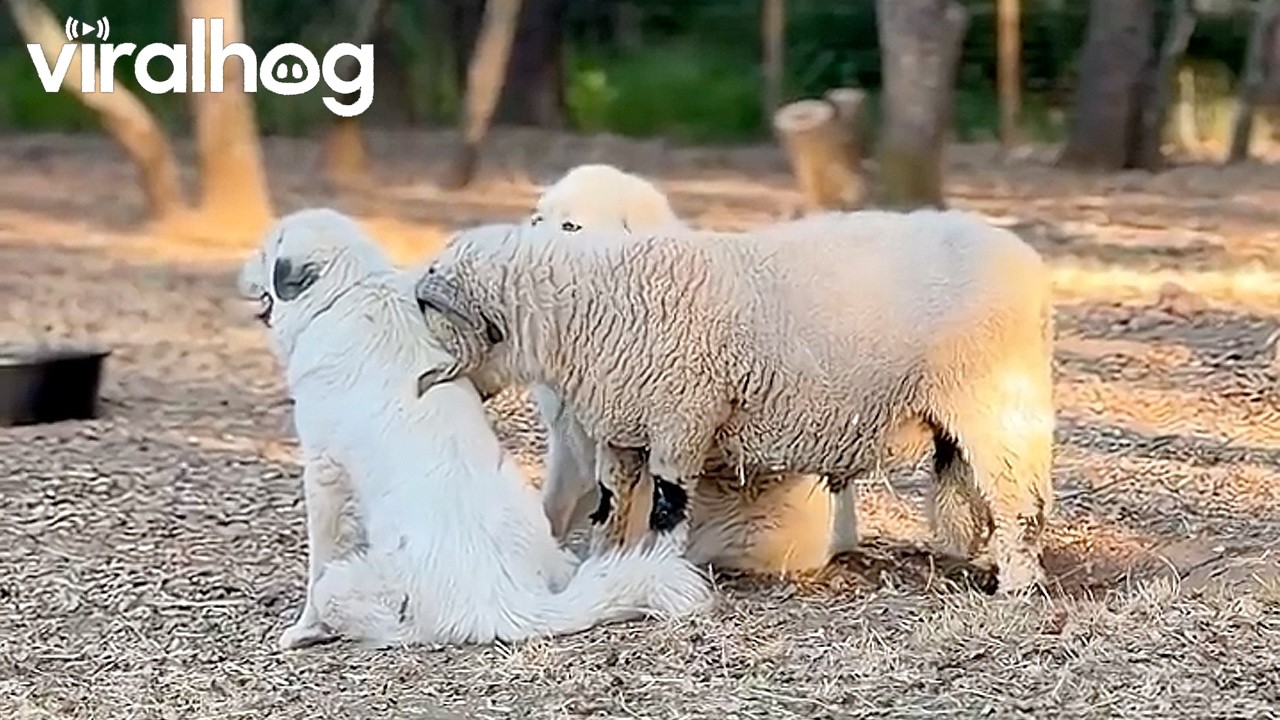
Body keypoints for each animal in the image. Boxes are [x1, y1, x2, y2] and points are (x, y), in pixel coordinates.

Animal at [236, 207, 712, 649]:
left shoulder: (323, 475)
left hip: (347, 585)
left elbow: (317, 561)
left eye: (263, 253)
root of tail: (513, 603)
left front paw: (302, 629)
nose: (238, 272)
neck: (351, 289)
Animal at [411, 208, 1056, 594]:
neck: (593, 303)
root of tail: (1029, 265)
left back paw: (1018, 587)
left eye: (427, 308)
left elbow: (668, 506)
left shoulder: (682, 418)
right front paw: (604, 566)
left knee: (1019, 501)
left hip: (993, 401)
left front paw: (663, 571)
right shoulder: (622, 429)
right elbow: (611, 504)